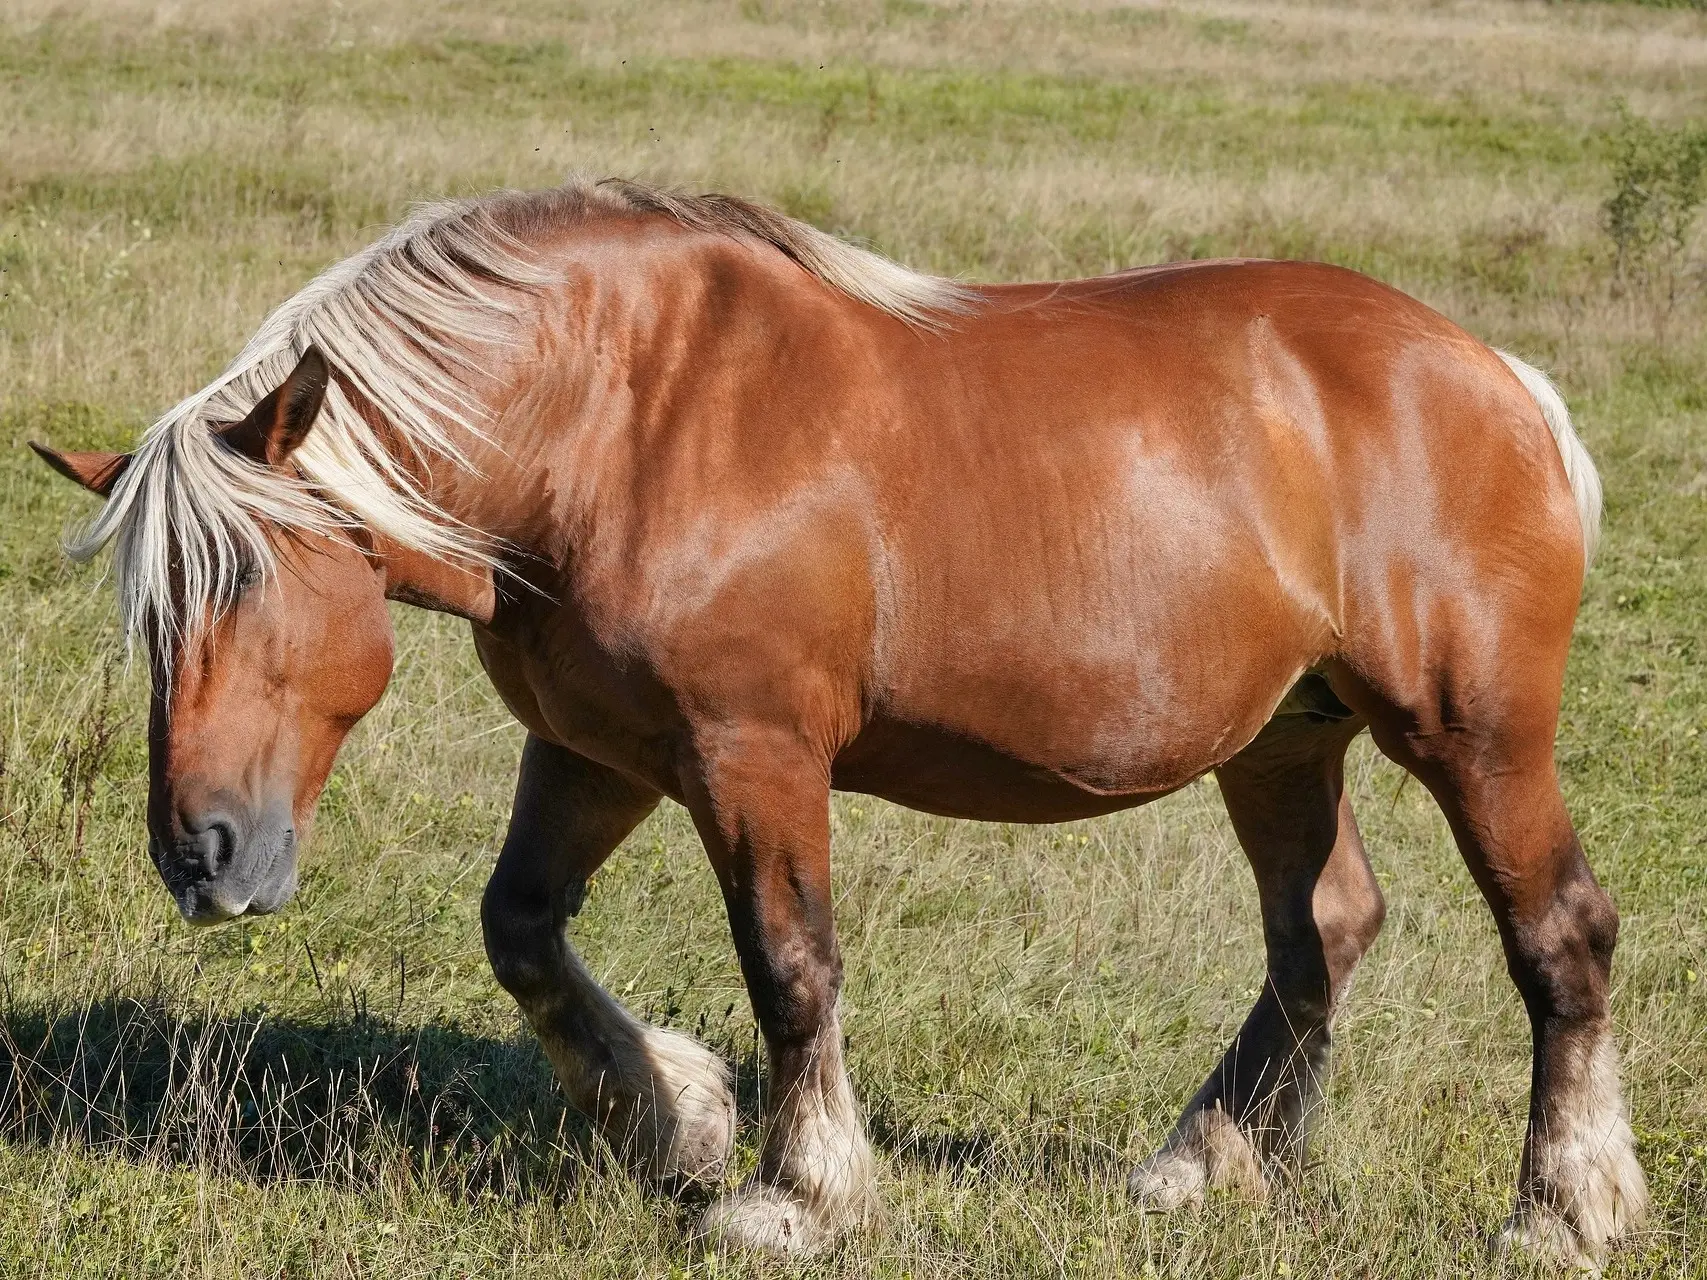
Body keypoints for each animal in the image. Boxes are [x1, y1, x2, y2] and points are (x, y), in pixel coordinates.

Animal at [33, 175, 1645, 1269]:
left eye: (252, 583)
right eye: (151, 613)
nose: (200, 856)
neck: (621, 425)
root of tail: (1497, 378)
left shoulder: (752, 756)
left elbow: (791, 966)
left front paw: (795, 1191)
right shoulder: (597, 751)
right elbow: (522, 931)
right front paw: (672, 1116)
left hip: (1472, 732)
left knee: (1557, 934)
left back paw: (1565, 1204)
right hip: (1283, 739)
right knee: (1322, 930)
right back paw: (1204, 1162)